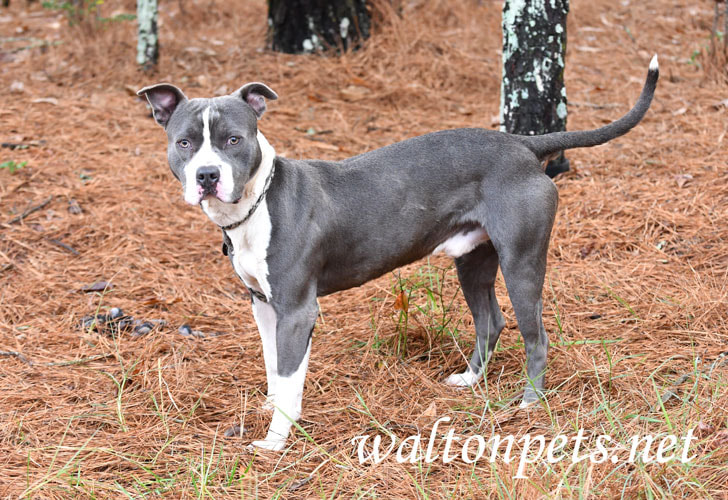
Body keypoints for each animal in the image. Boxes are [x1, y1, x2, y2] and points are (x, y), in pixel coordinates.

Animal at [136, 56, 660, 452]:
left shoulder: (297, 311)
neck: (256, 203)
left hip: (522, 261)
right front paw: (271, 406)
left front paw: (276, 439)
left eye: (233, 140)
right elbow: (273, 365)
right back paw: (470, 382)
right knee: (490, 321)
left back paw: (530, 403)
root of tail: (522, 144)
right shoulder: (263, 307)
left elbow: (288, 373)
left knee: (536, 335)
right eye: (185, 142)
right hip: (474, 261)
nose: (206, 176)